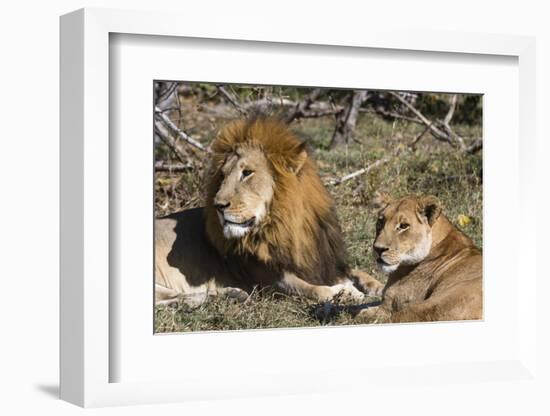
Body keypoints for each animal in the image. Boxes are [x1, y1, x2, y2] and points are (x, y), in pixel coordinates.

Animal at [154, 117, 380, 306]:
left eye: (247, 173)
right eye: (223, 176)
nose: (218, 205)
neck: (288, 226)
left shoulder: (325, 262)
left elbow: (358, 272)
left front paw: (376, 286)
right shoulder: (270, 280)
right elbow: (315, 289)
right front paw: (346, 293)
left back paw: (232, 294)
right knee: (171, 299)